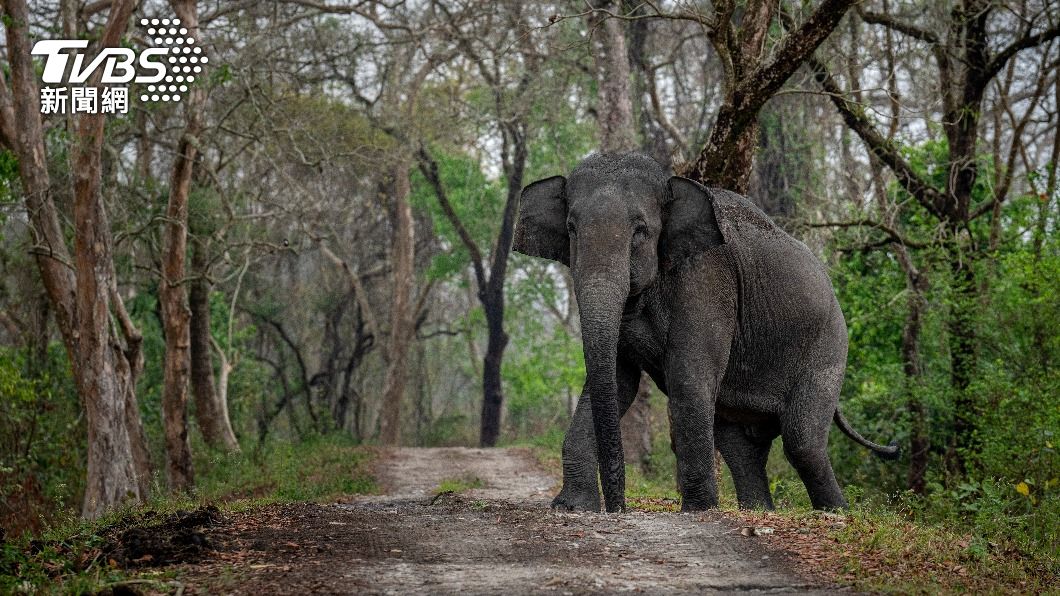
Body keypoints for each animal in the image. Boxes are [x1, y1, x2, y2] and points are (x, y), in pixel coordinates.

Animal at [512, 152, 897, 513]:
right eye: (571, 229)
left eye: (640, 231)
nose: (619, 506)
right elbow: (618, 381)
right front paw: (572, 507)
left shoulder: (707, 278)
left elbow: (687, 376)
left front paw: (698, 510)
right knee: (740, 446)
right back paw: (759, 510)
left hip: (829, 346)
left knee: (802, 441)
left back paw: (835, 513)